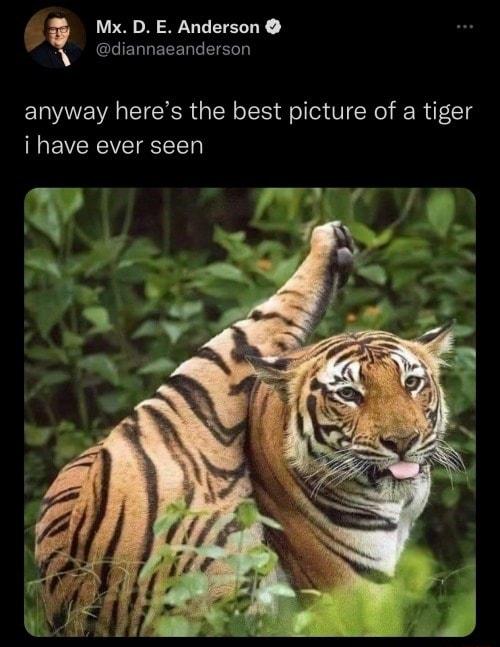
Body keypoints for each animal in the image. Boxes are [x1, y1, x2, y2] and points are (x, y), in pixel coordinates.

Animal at [34, 221, 458, 636]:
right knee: (252, 329)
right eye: (349, 394)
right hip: (200, 390)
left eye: (411, 383)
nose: (403, 441)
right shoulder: (352, 597)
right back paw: (328, 240)